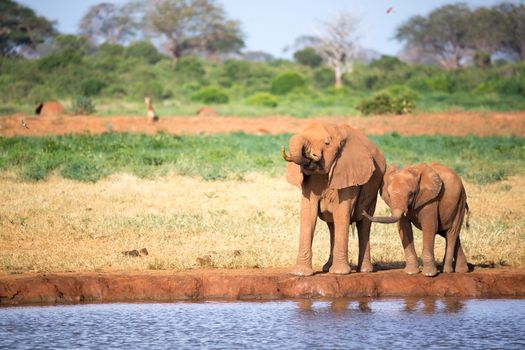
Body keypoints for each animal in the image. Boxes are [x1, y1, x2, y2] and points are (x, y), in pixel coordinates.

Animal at [282, 121, 384, 274]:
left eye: (327, 143)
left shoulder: (348, 171)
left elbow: (342, 212)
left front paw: (340, 272)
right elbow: (308, 212)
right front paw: (301, 273)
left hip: (373, 189)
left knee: (364, 224)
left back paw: (364, 270)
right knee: (332, 225)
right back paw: (326, 268)